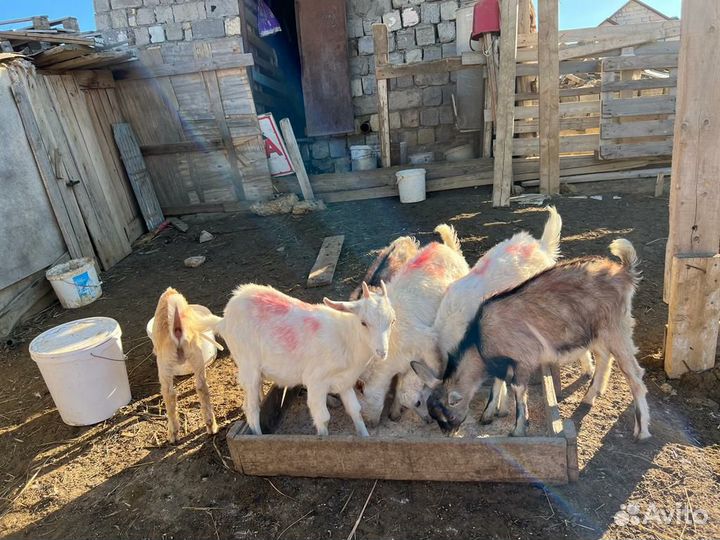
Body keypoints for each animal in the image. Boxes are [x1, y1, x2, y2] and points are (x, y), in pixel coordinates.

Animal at [150, 288, 223, 443]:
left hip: (164, 363)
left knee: (169, 393)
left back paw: (173, 434)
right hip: (196, 354)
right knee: (202, 386)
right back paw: (211, 426)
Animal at [216, 282, 395, 436]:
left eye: (392, 321)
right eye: (363, 322)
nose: (382, 352)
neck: (346, 338)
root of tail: (224, 319)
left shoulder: (345, 382)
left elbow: (355, 410)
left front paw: (365, 436)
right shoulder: (316, 381)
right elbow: (323, 418)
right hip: (247, 364)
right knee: (251, 409)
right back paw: (258, 436)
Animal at [357, 225, 469, 426]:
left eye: (361, 396)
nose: (370, 423)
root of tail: (446, 248)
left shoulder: (427, 342)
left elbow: (435, 369)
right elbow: (400, 384)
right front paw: (395, 413)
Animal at [413, 239, 650, 441]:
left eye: (447, 415)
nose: (448, 434)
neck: (481, 339)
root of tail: (624, 273)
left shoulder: (523, 359)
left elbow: (518, 390)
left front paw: (518, 429)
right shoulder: (501, 360)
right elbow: (497, 383)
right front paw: (488, 414)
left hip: (617, 327)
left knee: (634, 374)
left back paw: (642, 430)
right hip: (596, 332)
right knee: (604, 357)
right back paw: (590, 396)